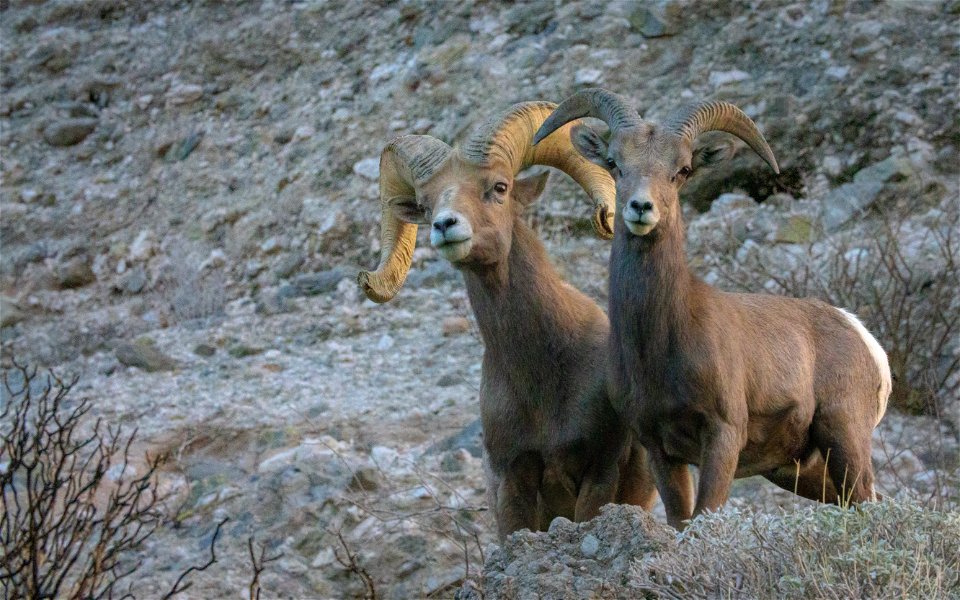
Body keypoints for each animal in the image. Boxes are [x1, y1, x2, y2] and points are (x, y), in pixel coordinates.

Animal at [360, 101, 660, 536]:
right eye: (427, 205)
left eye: (499, 188)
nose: (445, 226)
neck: (542, 380)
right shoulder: (512, 482)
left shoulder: (599, 472)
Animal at [532, 89, 892, 528]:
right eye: (615, 164)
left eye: (682, 169)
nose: (640, 208)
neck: (661, 342)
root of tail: (863, 337)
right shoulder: (660, 449)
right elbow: (681, 520)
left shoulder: (722, 438)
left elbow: (705, 514)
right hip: (798, 469)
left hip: (844, 439)